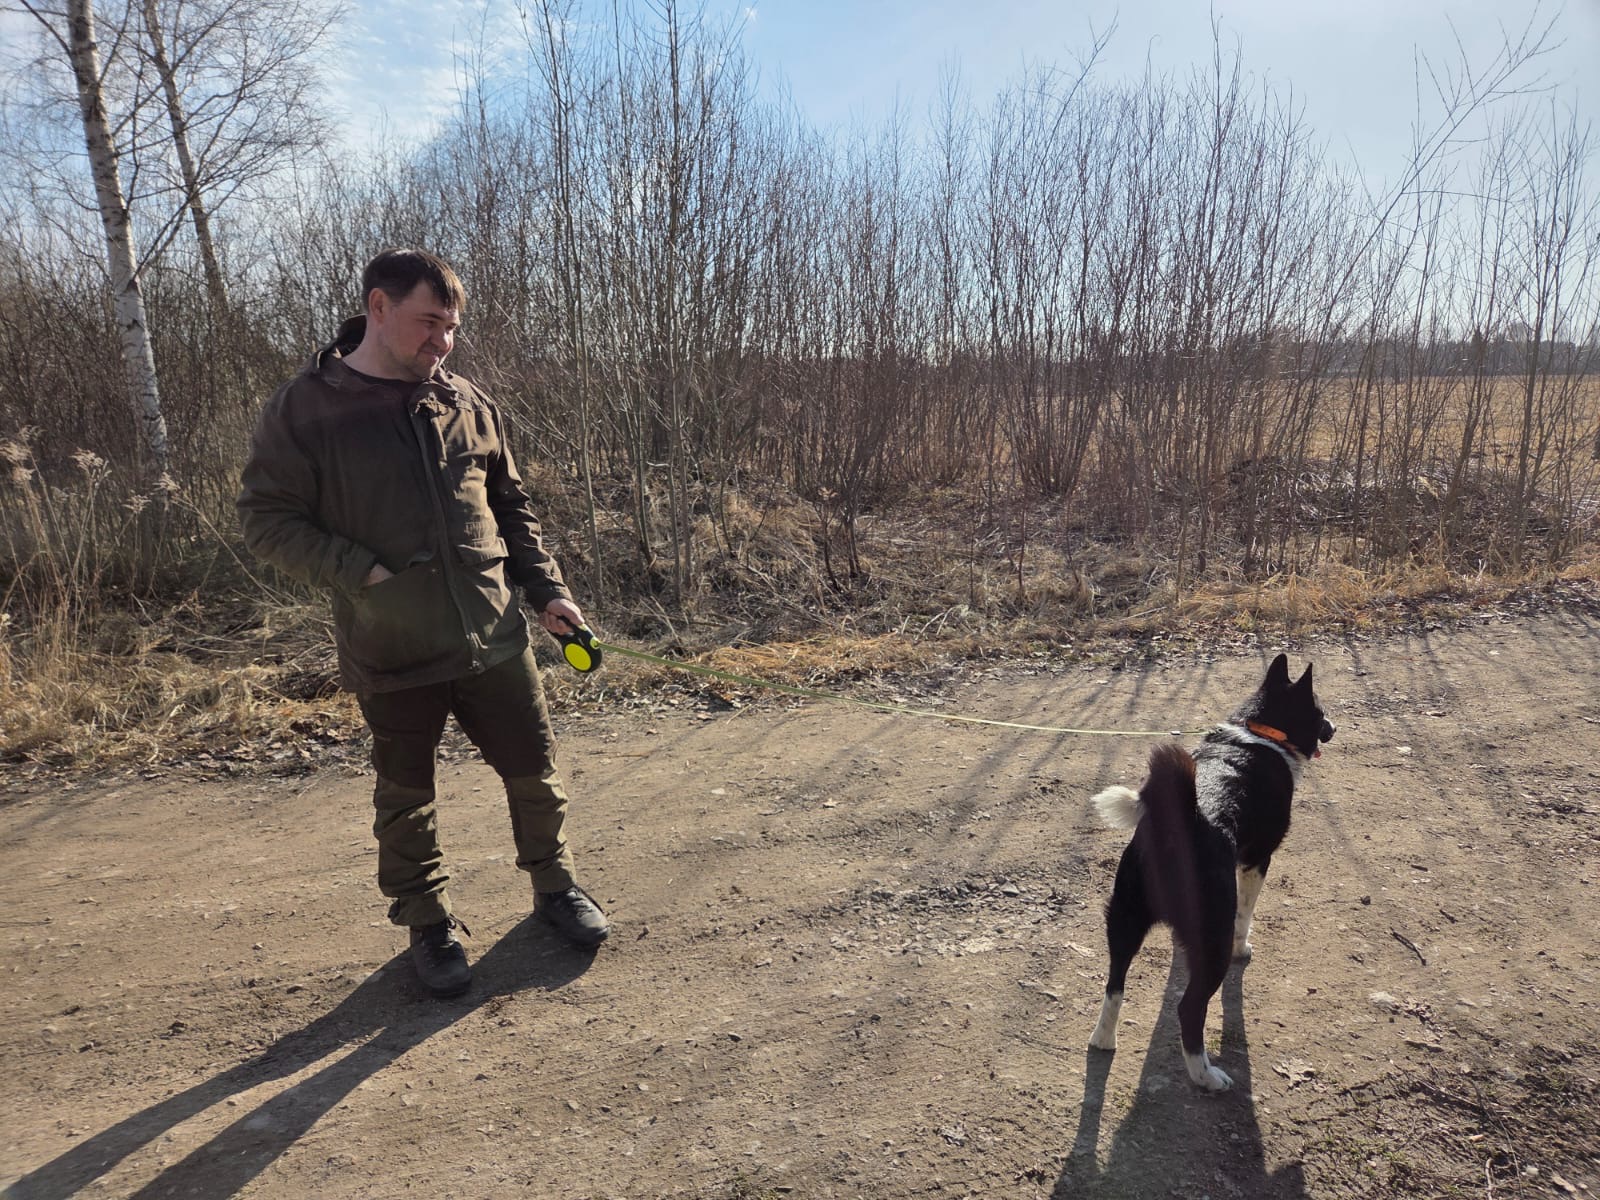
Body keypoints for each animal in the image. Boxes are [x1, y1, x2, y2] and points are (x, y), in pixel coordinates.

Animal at [1086, 653, 1334, 1090]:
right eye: (1319, 712)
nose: (1333, 728)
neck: (1261, 730)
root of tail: (1181, 821)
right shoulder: (1256, 861)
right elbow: (1246, 915)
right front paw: (1243, 947)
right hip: (1209, 937)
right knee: (1189, 1009)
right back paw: (1206, 1076)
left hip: (1124, 921)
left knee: (1114, 983)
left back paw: (1104, 1038)